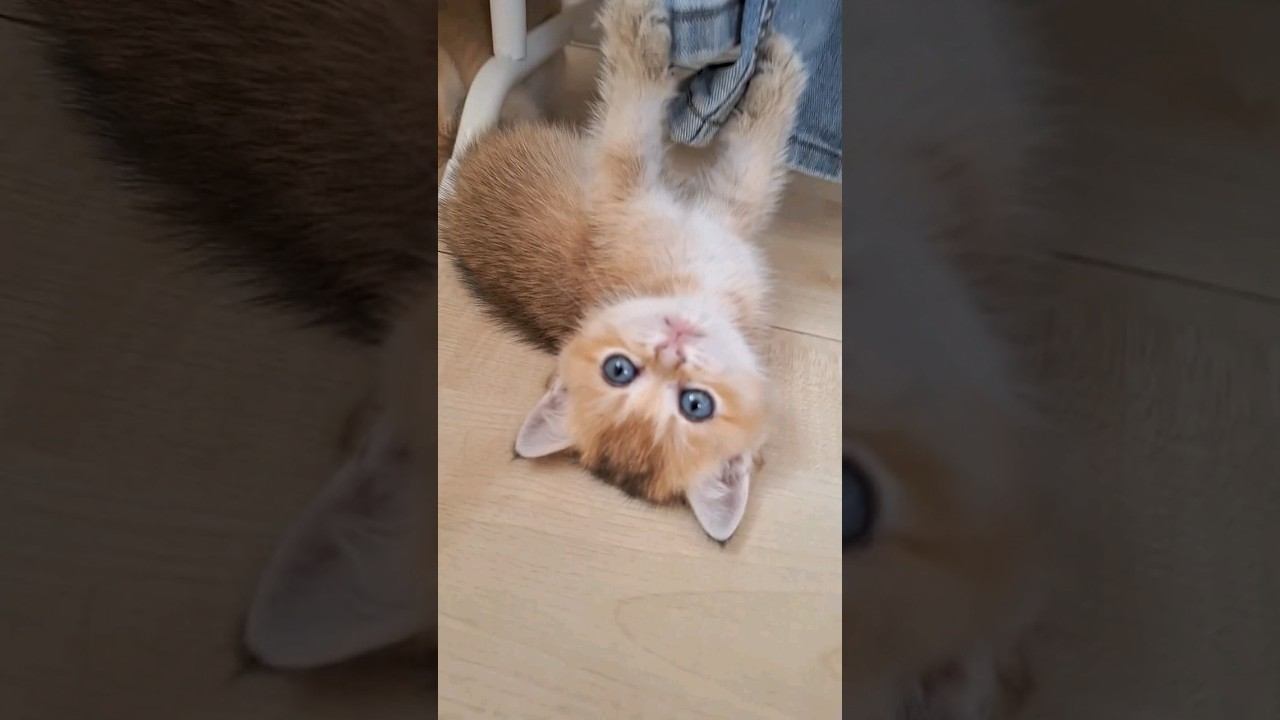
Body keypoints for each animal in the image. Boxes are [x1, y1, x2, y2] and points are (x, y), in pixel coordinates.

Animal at [439, 0, 807, 542]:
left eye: (696, 405)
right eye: (619, 370)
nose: (673, 345)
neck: (694, 291)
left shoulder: (723, 212)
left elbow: (751, 164)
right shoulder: (630, 182)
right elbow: (641, 115)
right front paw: (641, 32)